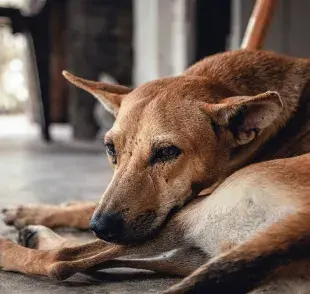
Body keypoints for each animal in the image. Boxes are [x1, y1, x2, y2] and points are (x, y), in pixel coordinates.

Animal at [1, 49, 310, 292]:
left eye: (167, 152)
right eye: (110, 148)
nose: (100, 227)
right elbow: (85, 208)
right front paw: (37, 210)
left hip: (188, 215)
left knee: (62, 260)